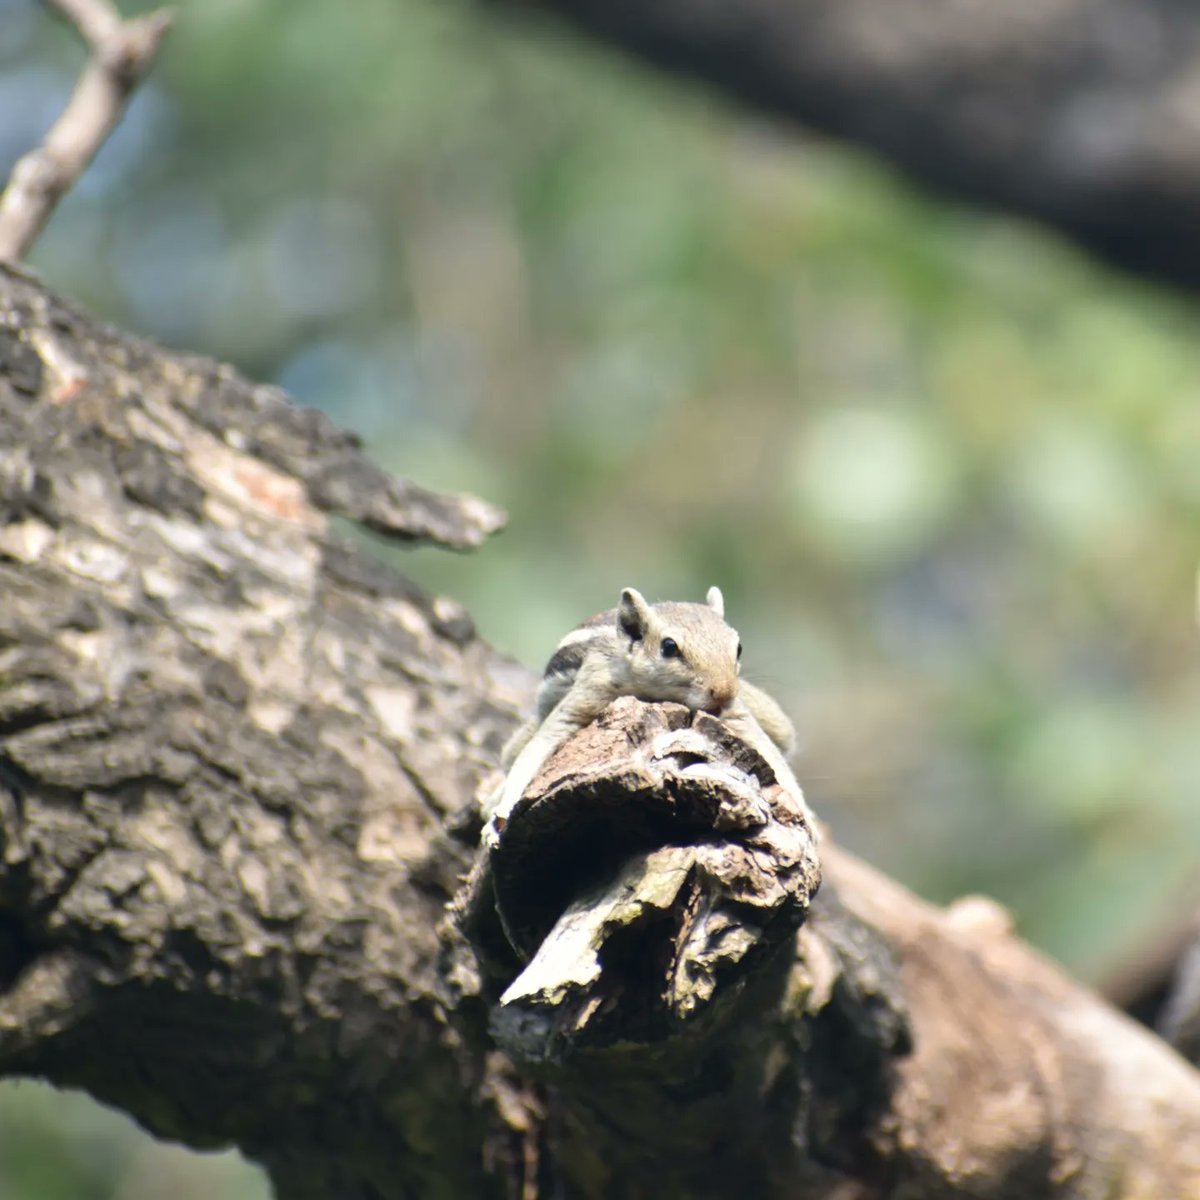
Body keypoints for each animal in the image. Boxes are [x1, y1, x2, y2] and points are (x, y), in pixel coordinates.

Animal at [482, 585, 811, 844]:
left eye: (738, 647)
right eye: (669, 647)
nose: (724, 693)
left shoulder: (736, 714)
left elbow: (767, 749)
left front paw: (804, 813)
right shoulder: (591, 687)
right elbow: (542, 742)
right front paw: (501, 813)